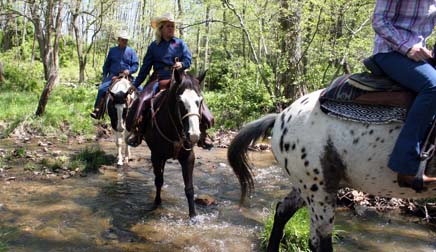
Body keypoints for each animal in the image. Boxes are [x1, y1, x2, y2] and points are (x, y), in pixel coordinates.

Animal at [136, 69, 204, 219]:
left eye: (200, 100)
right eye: (180, 101)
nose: (194, 135)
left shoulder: (188, 157)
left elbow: (189, 188)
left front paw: (193, 215)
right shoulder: (156, 156)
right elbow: (158, 180)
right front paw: (157, 203)